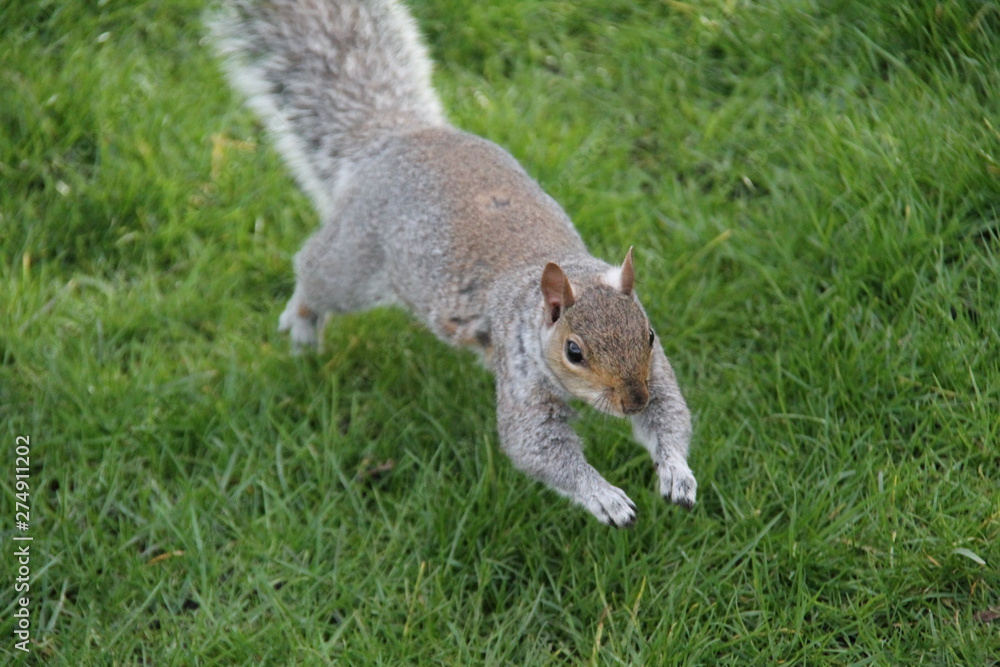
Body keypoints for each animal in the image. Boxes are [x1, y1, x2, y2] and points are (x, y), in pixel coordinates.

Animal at [209, 0, 696, 527]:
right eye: (574, 352)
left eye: (649, 334)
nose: (632, 401)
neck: (570, 276)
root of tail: (401, 138)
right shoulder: (519, 372)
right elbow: (537, 448)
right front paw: (604, 497)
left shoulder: (656, 373)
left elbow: (670, 415)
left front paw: (677, 472)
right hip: (355, 262)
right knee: (314, 272)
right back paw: (301, 323)